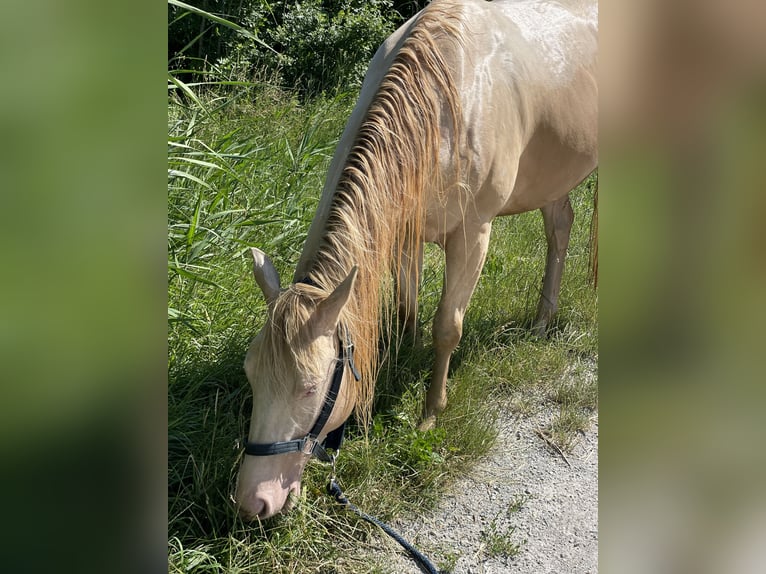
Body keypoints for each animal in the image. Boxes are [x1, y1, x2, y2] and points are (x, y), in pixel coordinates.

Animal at [237, 0, 596, 520]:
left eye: (309, 387)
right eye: (250, 375)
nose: (252, 502)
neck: (444, 104)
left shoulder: (473, 234)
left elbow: (448, 325)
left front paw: (430, 412)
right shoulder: (405, 229)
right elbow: (407, 308)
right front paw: (400, 361)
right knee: (560, 226)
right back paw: (542, 321)